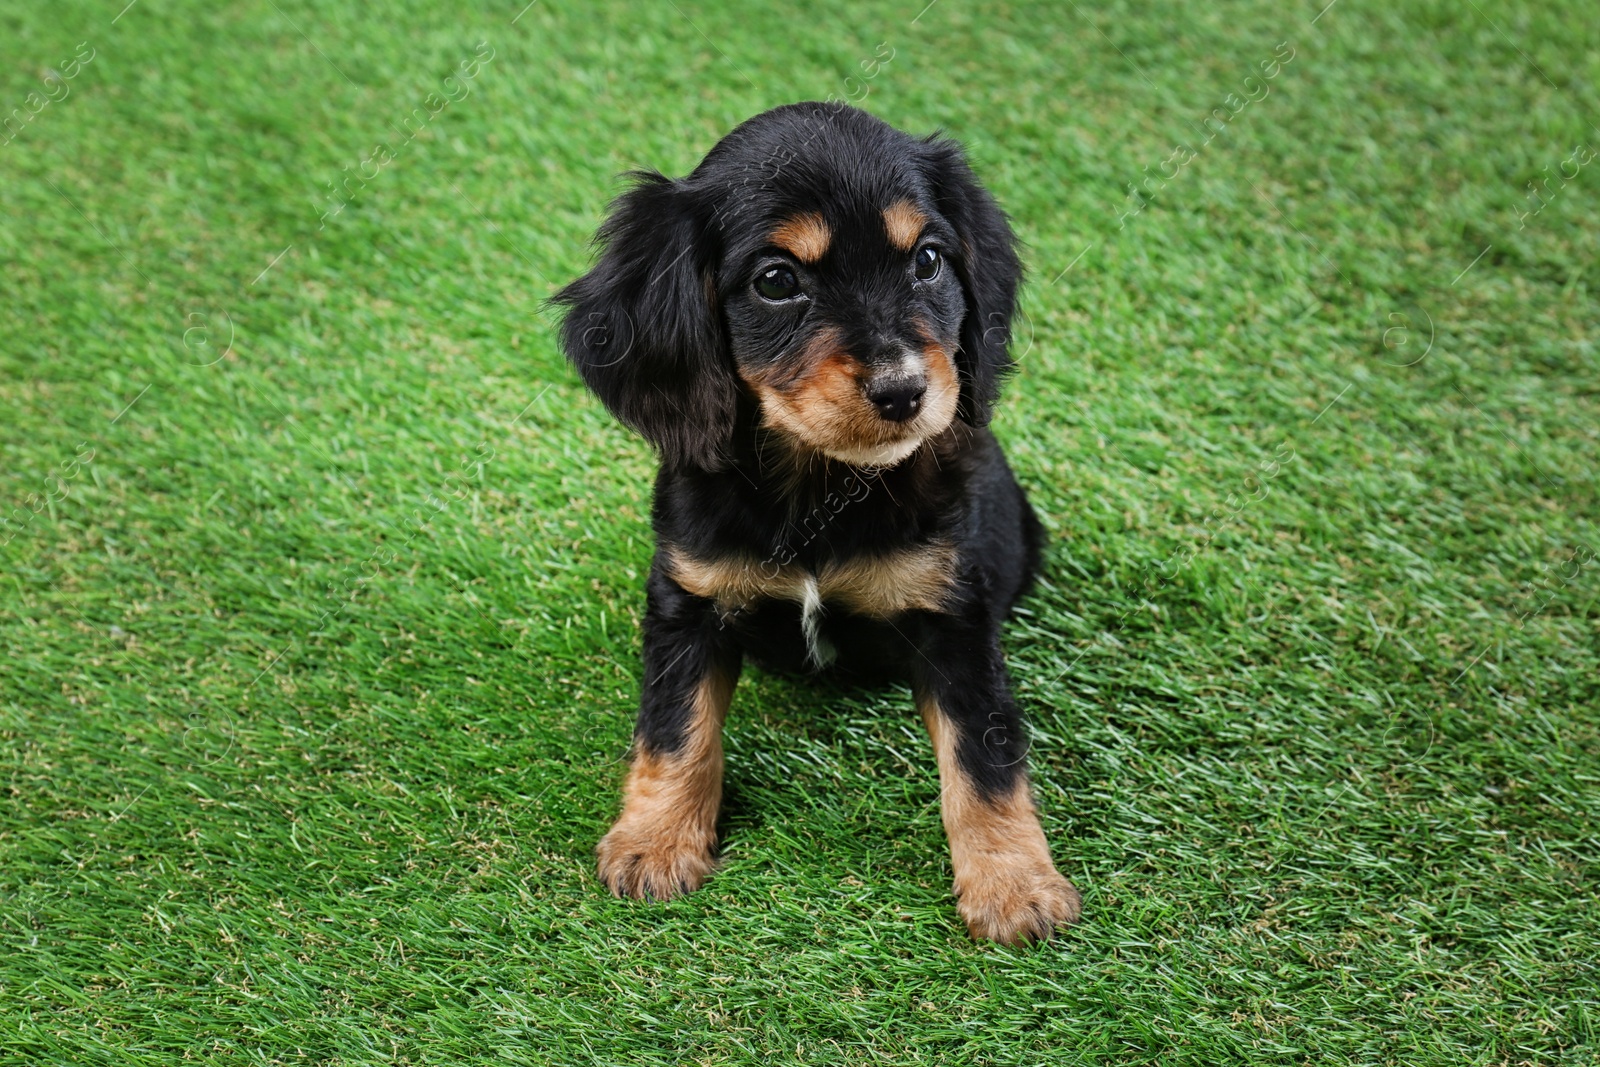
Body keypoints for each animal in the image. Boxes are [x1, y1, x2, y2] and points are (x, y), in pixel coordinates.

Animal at [553, 103, 1088, 947]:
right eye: (777, 281)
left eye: (928, 261)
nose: (903, 390)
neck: (821, 491)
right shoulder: (688, 598)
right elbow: (675, 728)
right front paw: (654, 842)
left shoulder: (954, 615)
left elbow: (984, 757)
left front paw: (1015, 885)